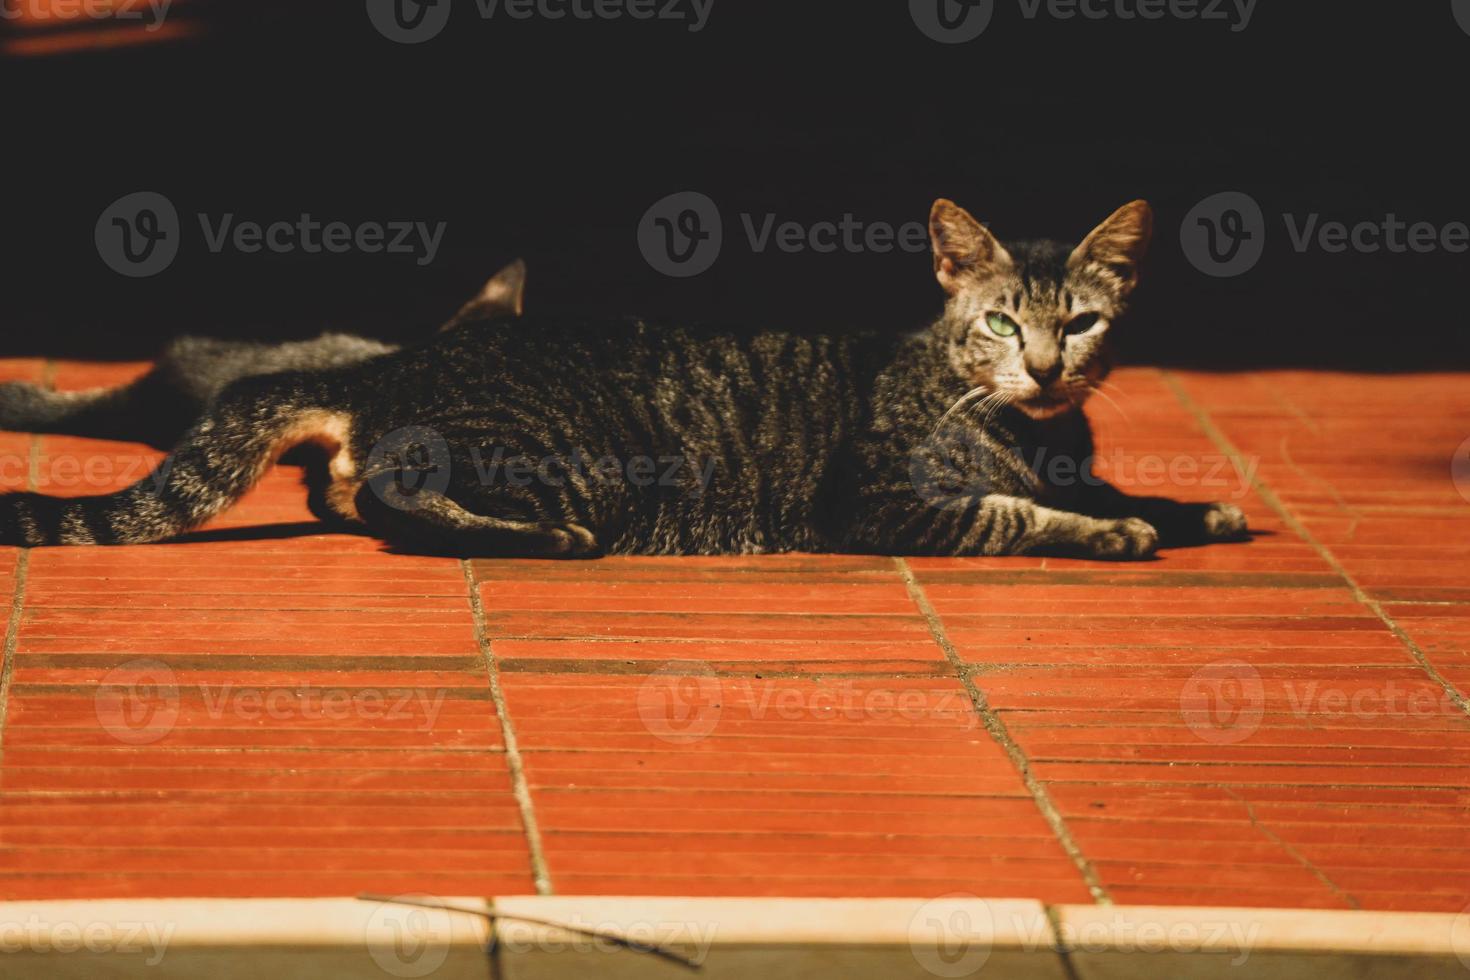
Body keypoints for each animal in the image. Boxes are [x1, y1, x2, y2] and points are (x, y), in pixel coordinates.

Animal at [0, 201, 1246, 558]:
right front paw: (1113, 532)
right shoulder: (886, 502)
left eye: (1080, 323)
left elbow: (1121, 487)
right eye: (999, 321)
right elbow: (1011, 513)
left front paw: (1193, 509)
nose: (1042, 367)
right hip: (584, 468)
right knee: (393, 500)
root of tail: (409, 359)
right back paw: (537, 540)